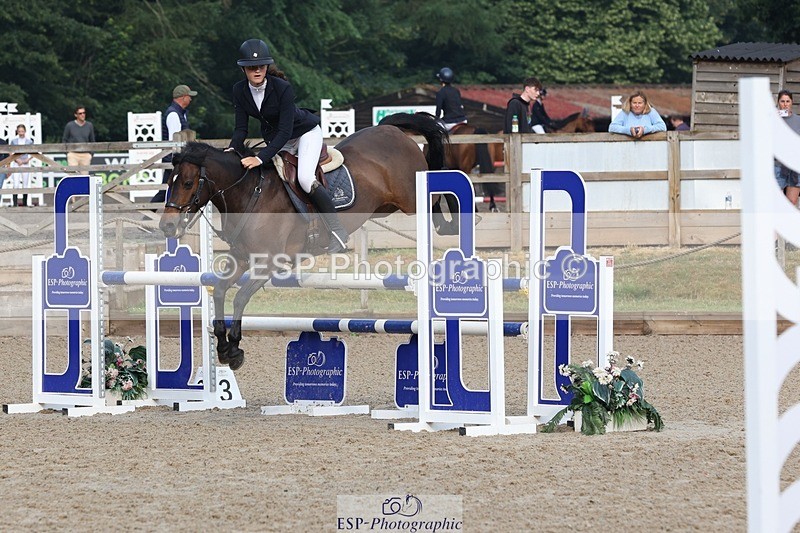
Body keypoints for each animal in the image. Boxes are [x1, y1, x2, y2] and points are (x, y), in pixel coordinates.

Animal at [159, 113, 449, 371]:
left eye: (187, 183)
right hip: (384, 207)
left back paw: (448, 223)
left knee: (438, 195)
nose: (166, 226)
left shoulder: (269, 263)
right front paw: (223, 349)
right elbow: (219, 291)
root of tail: (391, 130)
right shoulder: (241, 257)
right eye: (170, 182)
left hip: (411, 199)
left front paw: (235, 350)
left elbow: (240, 298)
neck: (250, 193)